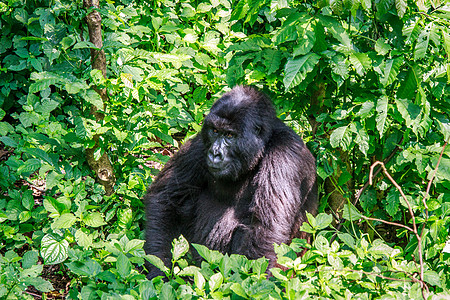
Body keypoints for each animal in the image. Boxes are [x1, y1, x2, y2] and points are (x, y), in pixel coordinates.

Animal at [144, 85, 316, 278]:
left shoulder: (285, 155)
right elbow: (165, 199)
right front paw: (159, 271)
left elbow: (265, 232)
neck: (263, 146)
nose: (215, 154)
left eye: (230, 135)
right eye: (215, 131)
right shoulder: (200, 143)